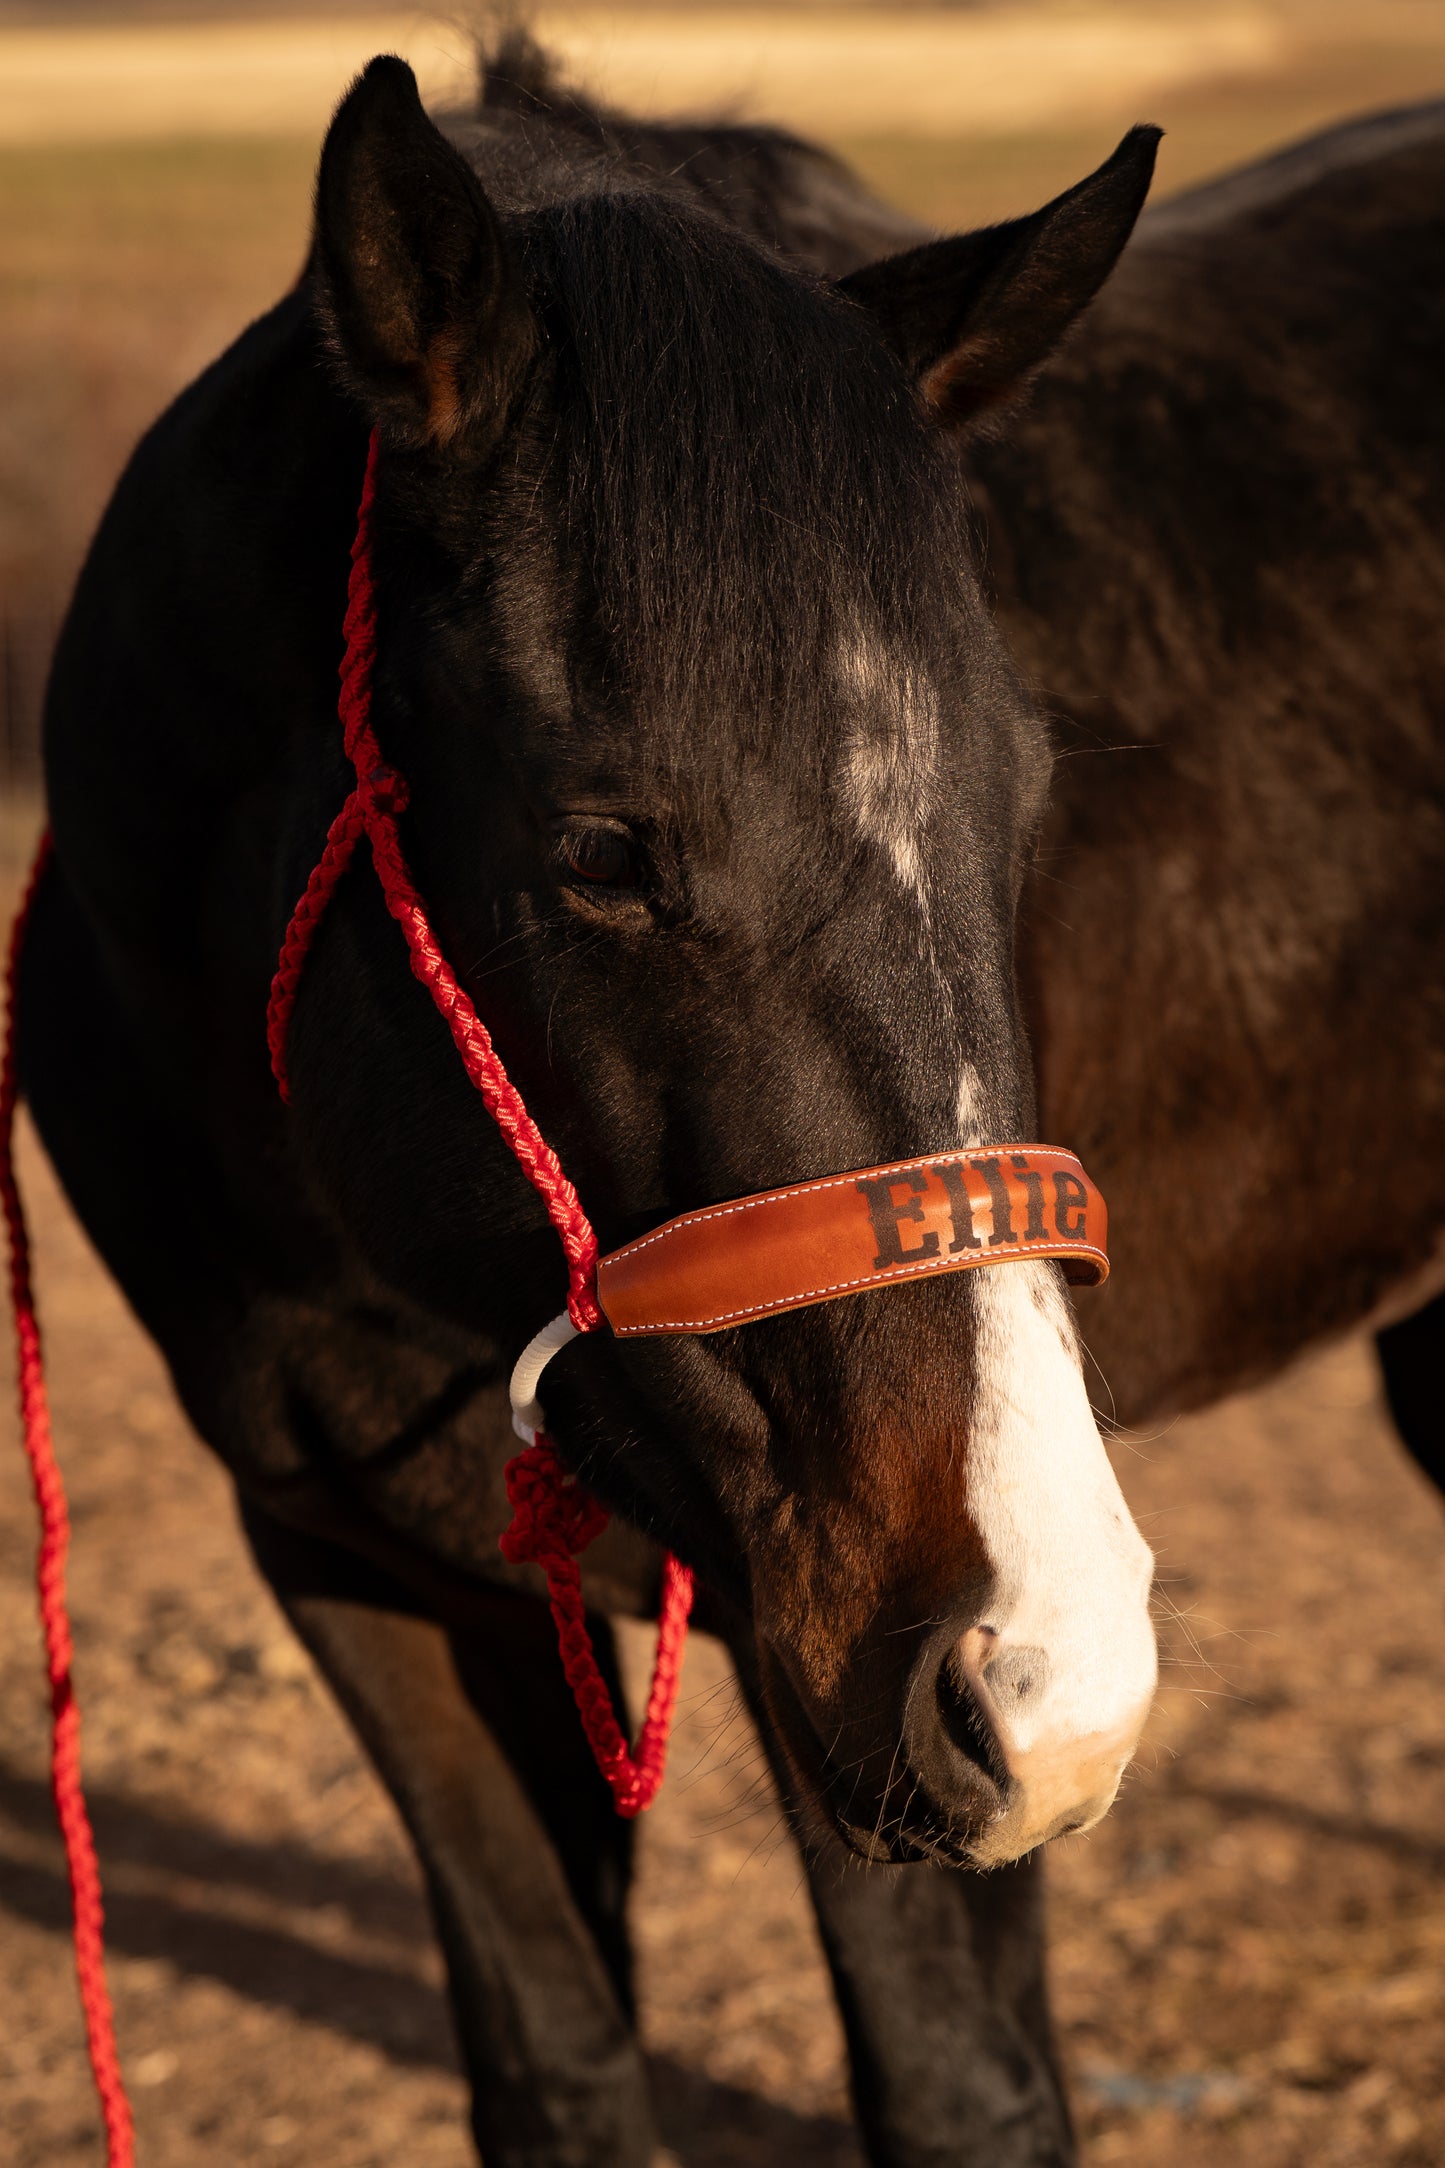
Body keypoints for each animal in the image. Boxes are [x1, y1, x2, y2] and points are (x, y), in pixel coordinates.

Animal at [14, 25, 1442, 2166]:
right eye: (603, 847)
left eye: (1029, 792)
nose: (1057, 1664)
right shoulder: (360, 1562)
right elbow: (555, 2057)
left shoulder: (829, 1654)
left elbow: (957, 2089)